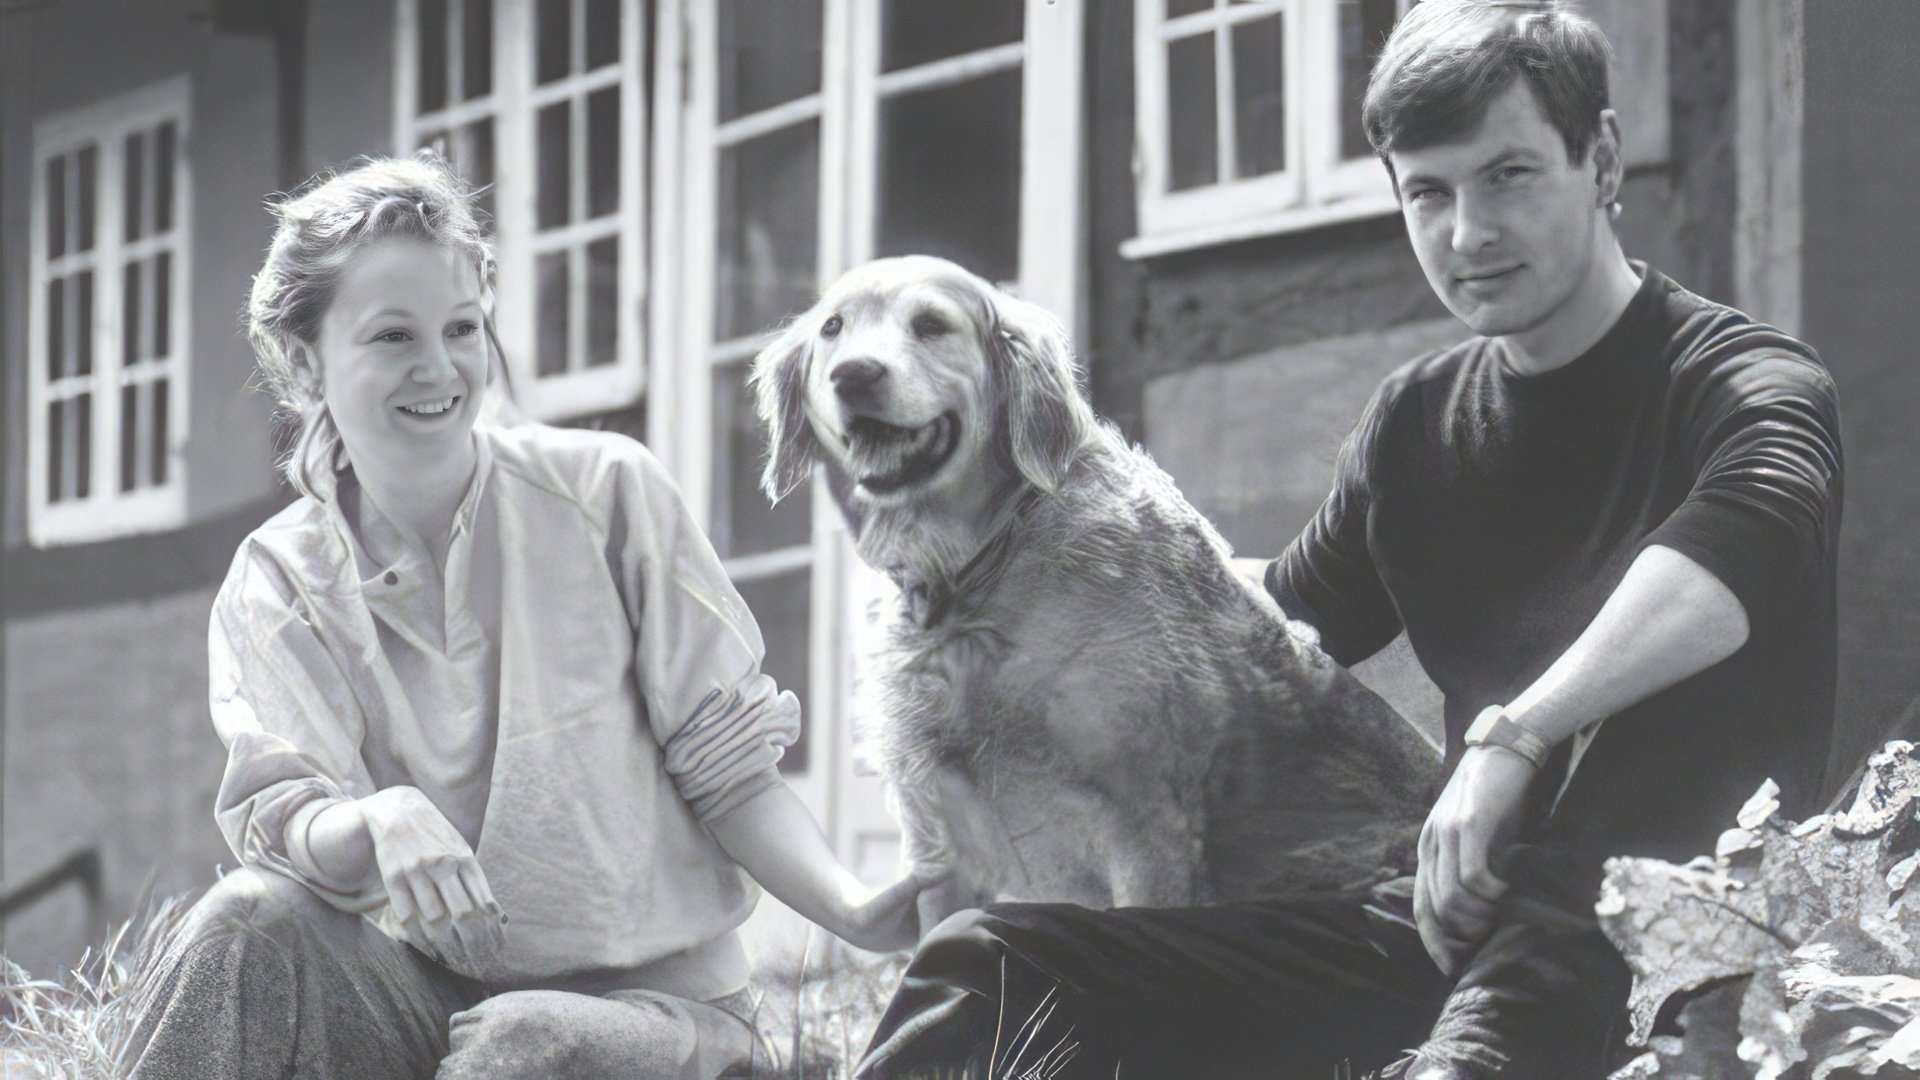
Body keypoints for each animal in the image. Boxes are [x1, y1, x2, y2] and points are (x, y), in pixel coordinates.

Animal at [748, 253, 1443, 914]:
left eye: (931, 325)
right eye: (833, 329)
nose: (853, 374)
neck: (976, 566)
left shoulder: (1148, 829)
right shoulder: (937, 838)